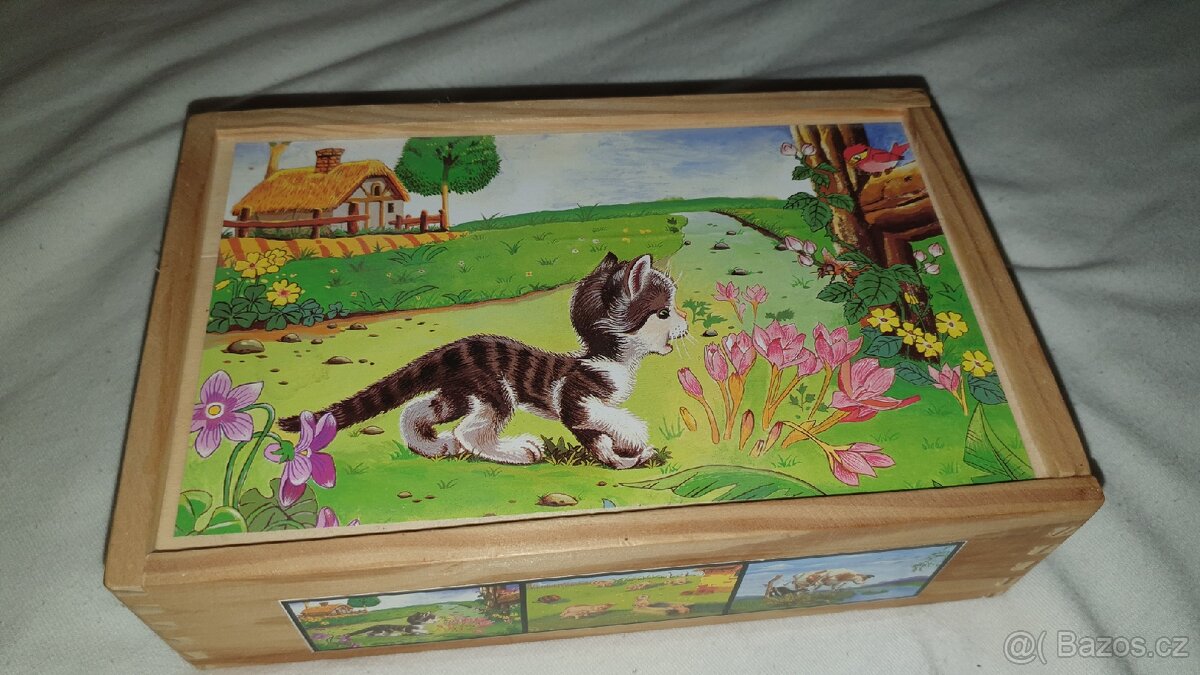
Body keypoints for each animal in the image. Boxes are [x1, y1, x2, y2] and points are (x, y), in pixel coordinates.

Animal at [279, 253, 688, 469]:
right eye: (664, 312)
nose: (686, 323)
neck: (609, 357)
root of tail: (451, 349)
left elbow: (598, 437)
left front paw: (625, 457)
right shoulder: (576, 398)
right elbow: (607, 420)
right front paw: (633, 443)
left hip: (459, 391)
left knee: (417, 410)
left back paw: (433, 447)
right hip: (493, 388)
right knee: (472, 430)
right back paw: (517, 451)